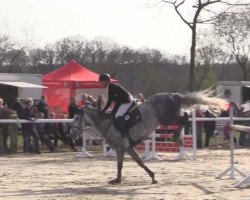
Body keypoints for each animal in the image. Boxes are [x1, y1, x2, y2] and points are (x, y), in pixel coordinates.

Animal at [70, 90, 227, 184]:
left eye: (77, 117)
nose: (72, 133)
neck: (107, 124)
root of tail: (174, 95)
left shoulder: (120, 148)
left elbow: (120, 165)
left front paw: (117, 180)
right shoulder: (128, 148)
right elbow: (139, 162)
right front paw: (152, 176)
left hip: (166, 118)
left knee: (185, 118)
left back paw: (176, 137)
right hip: (167, 118)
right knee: (184, 118)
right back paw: (177, 137)